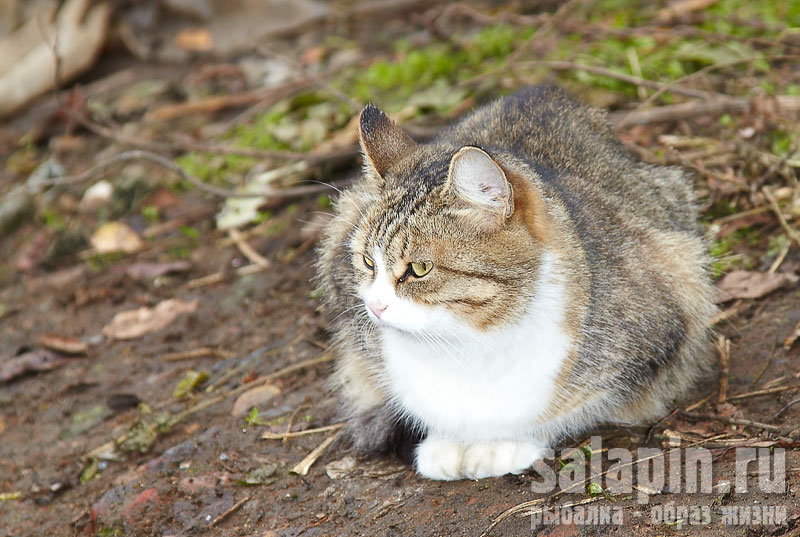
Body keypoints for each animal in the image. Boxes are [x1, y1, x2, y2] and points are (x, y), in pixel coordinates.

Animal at [314, 86, 720, 480]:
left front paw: (505, 444)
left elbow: (557, 411)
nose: (375, 306)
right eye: (368, 262)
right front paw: (446, 440)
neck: (464, 344)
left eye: (419, 268)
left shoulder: (663, 315)